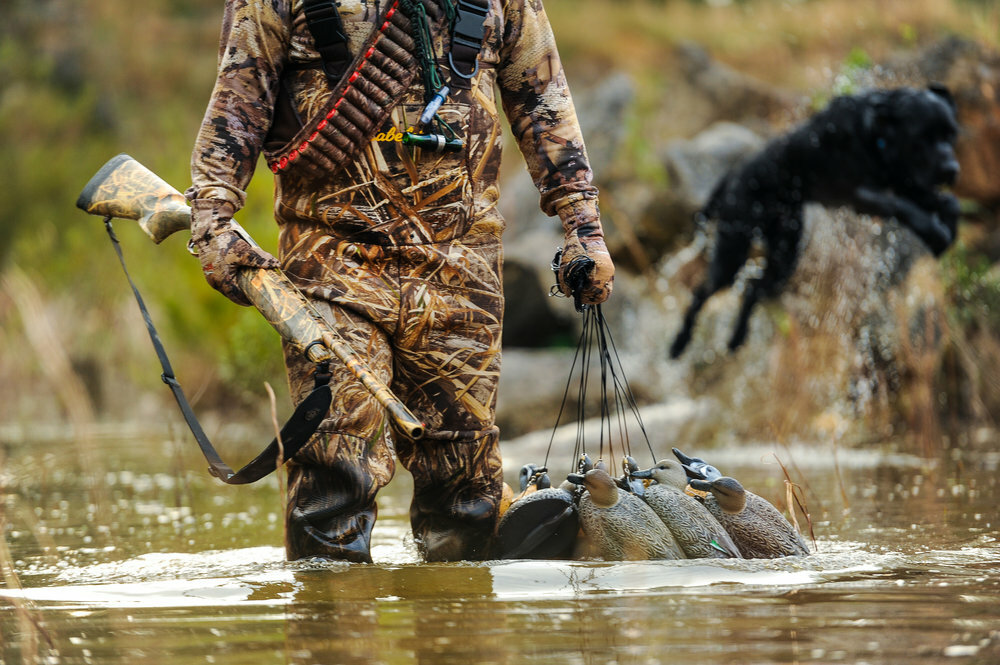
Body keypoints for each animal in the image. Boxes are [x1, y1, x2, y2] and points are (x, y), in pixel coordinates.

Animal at [672, 83, 960, 358]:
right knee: (701, 291)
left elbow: (948, 202)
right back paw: (679, 342)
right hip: (732, 251)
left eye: (951, 135)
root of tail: (731, 176)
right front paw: (935, 233)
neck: (871, 133)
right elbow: (900, 205)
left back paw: (737, 337)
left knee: (754, 289)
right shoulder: (857, 194)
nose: (952, 169)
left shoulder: (905, 182)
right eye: (922, 138)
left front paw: (947, 230)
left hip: (785, 255)